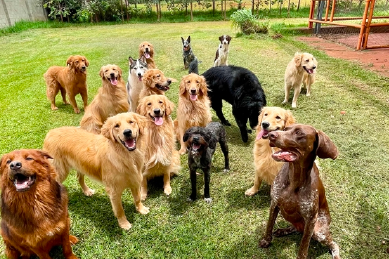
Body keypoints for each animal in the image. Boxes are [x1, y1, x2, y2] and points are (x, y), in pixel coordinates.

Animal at [260, 125, 340, 258]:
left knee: (333, 244)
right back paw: (283, 230)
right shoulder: (274, 203)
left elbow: (304, 246)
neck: (294, 177)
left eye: (299, 133)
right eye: (285, 129)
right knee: (296, 229)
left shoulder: (310, 218)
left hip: (318, 231)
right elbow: (269, 224)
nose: (271, 135)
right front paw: (266, 240)